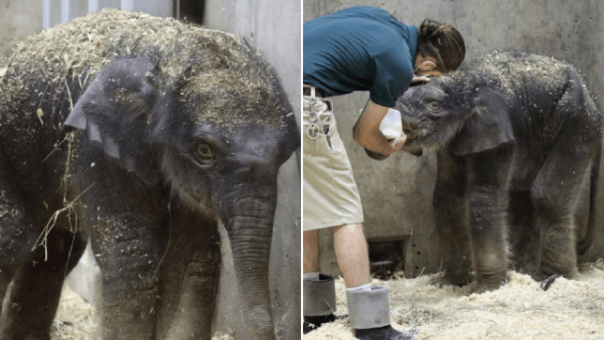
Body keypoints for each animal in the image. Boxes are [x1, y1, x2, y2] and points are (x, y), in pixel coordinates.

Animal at [394, 51, 600, 294]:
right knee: (522, 198)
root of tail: (593, 98)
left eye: (433, 105)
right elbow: (447, 198)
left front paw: (486, 289)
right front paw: (450, 283)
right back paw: (523, 273)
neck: (465, 81)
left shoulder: (497, 131)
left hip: (577, 123)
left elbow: (483, 198)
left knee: (546, 196)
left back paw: (552, 278)